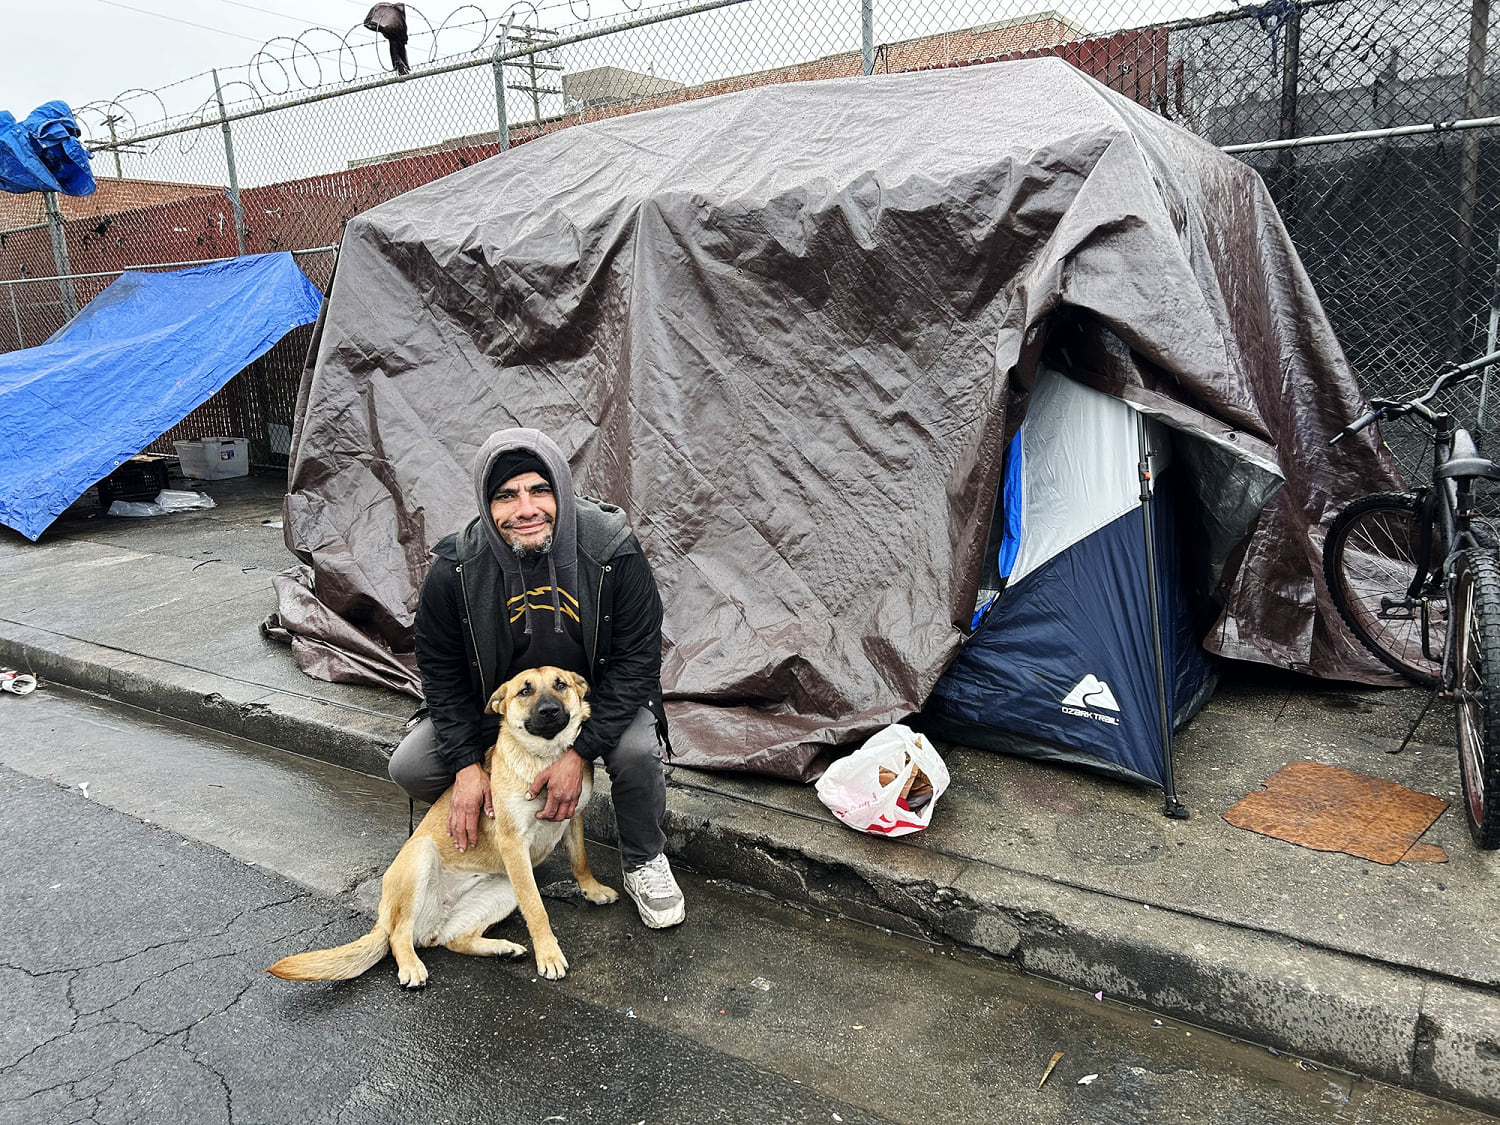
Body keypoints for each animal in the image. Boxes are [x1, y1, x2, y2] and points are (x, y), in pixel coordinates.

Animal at [270, 669, 615, 984]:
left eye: (561, 684)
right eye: (524, 691)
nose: (549, 711)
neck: (544, 758)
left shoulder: (573, 817)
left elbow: (580, 860)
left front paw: (592, 889)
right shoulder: (513, 843)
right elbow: (536, 908)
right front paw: (549, 954)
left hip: (503, 888)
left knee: (453, 940)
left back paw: (502, 949)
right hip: (422, 857)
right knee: (399, 936)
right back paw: (411, 966)